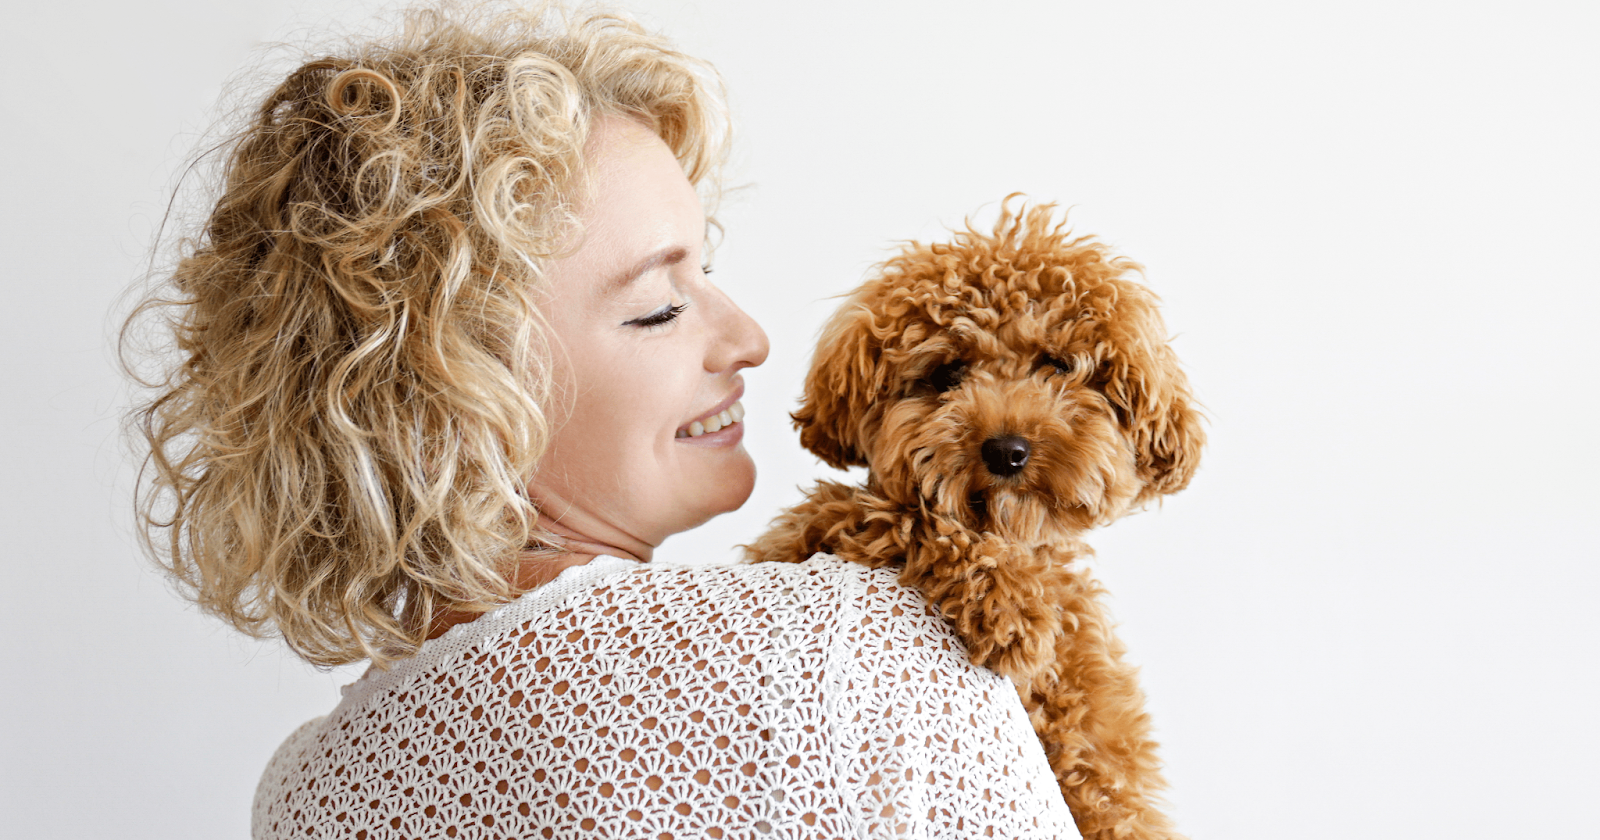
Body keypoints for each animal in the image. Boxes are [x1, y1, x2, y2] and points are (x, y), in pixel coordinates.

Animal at [745, 198, 1203, 838]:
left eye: (1057, 365)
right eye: (947, 374)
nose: (1006, 450)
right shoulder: (812, 533)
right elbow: (894, 513)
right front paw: (1010, 607)